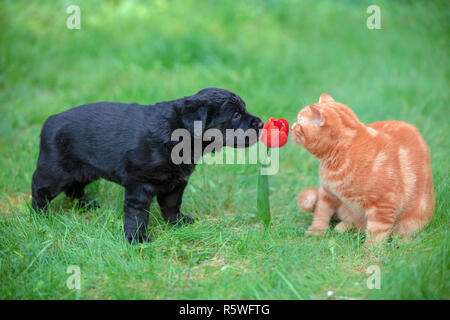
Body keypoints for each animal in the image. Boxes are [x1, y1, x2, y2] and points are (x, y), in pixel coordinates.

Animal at [31, 87, 264, 242]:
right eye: (235, 115)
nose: (261, 123)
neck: (177, 133)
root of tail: (49, 120)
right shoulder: (140, 184)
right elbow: (138, 214)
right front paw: (137, 239)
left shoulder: (176, 183)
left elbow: (172, 205)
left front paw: (177, 222)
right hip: (56, 171)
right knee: (40, 189)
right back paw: (40, 215)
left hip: (86, 169)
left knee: (74, 188)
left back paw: (86, 205)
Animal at [292, 94, 436, 244]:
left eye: (299, 122)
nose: (291, 127)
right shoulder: (327, 193)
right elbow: (321, 213)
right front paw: (316, 232)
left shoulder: (383, 204)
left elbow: (376, 232)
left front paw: (371, 249)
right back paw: (344, 227)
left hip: (412, 220)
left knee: (398, 233)